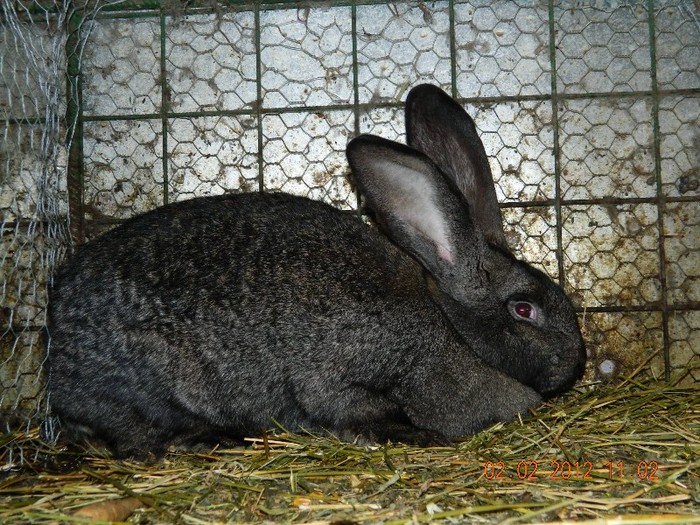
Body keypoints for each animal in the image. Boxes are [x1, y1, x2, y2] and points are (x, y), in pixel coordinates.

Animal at [46, 84, 588, 456]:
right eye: (524, 309)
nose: (577, 363)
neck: (452, 328)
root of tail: (57, 362)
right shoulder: (346, 368)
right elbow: (342, 401)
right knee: (135, 436)